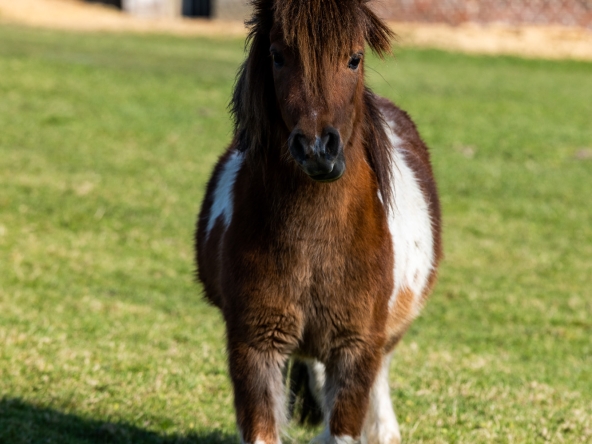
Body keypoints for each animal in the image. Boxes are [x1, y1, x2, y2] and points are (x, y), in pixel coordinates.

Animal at [197, 1, 442, 442]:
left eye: (355, 58)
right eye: (278, 56)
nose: (317, 150)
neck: (314, 243)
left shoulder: (357, 347)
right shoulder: (254, 345)